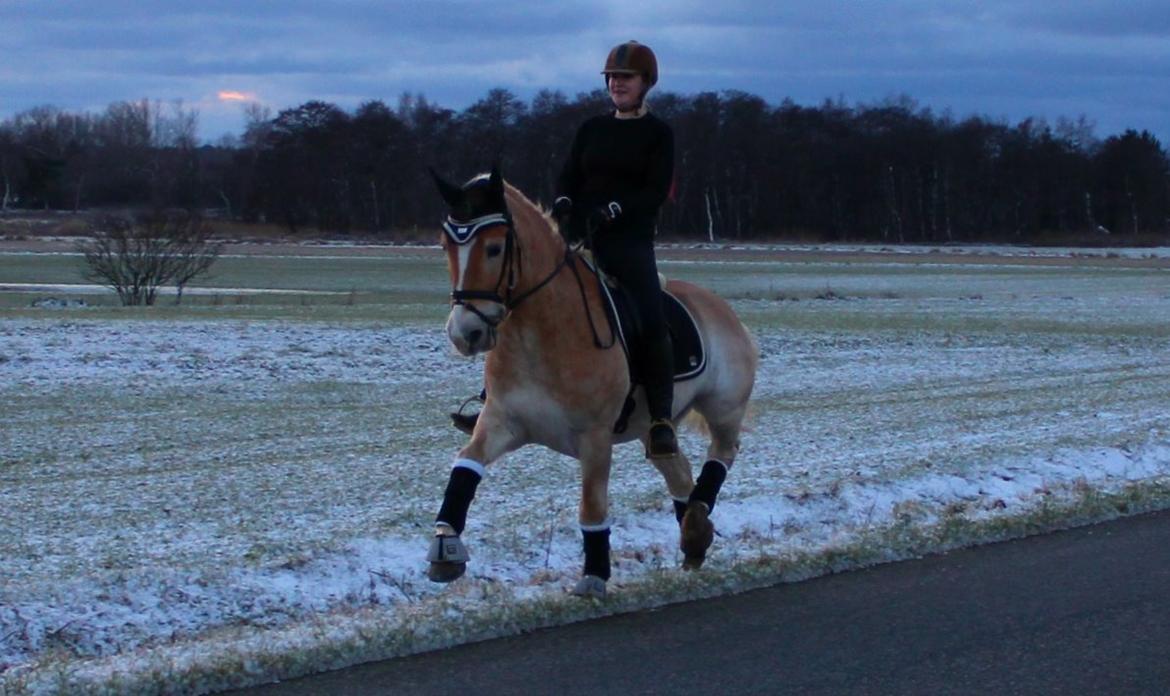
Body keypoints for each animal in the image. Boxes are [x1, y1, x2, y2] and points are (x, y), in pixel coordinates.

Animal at [430, 166, 758, 596]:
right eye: (446, 246)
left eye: (495, 248)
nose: (464, 333)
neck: (542, 335)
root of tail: (720, 307)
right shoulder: (502, 422)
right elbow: (465, 466)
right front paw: (445, 545)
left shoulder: (595, 438)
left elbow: (591, 506)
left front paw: (594, 574)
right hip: (653, 427)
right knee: (679, 468)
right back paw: (694, 534)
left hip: (723, 410)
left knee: (721, 455)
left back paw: (697, 520)